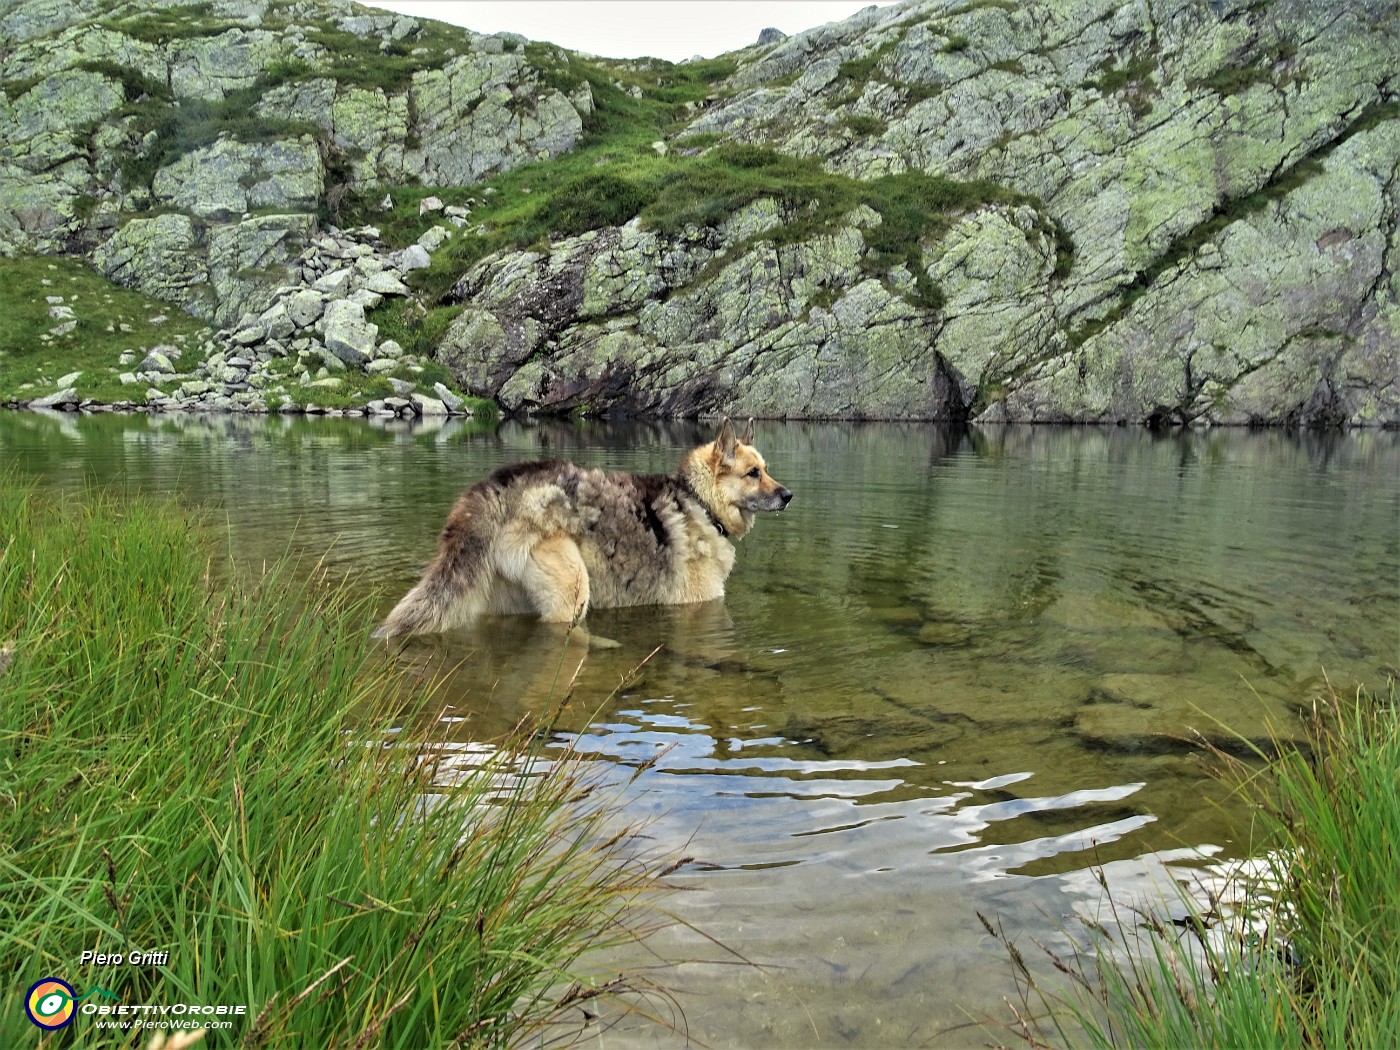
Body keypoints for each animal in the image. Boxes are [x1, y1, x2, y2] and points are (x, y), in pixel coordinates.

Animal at [372, 422, 795, 641]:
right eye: (752, 474)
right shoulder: (698, 604)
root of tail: (496, 486)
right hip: (571, 590)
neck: (699, 501)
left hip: (505, 596)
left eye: (766, 469)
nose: (788, 495)